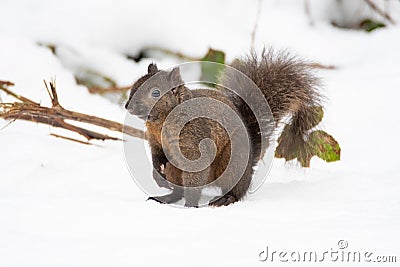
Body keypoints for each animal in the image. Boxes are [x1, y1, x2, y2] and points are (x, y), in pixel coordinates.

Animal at [125, 48, 322, 207]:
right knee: (178, 190)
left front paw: (190, 205)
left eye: (155, 93)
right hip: (176, 169)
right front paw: (157, 175)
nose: (128, 107)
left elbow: (195, 177)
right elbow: (156, 155)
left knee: (237, 190)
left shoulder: (197, 143)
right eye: (135, 85)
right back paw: (166, 197)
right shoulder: (155, 141)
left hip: (232, 163)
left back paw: (225, 199)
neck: (160, 122)